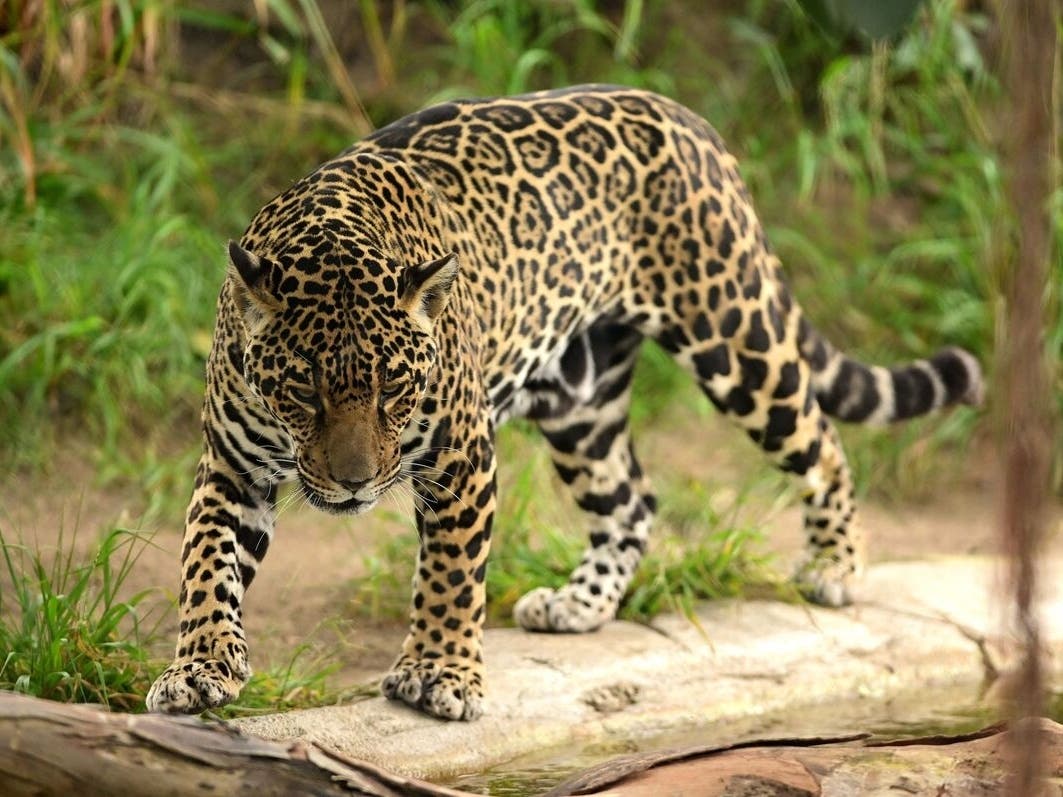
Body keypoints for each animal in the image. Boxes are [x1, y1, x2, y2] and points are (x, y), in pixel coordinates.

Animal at [146, 85, 983, 721]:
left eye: (395, 390)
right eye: (302, 391)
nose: (353, 484)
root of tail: (688, 118)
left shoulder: (461, 459)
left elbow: (450, 574)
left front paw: (442, 676)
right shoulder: (230, 467)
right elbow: (205, 563)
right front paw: (198, 668)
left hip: (734, 335)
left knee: (820, 439)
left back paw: (834, 565)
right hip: (582, 401)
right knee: (631, 498)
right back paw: (579, 605)